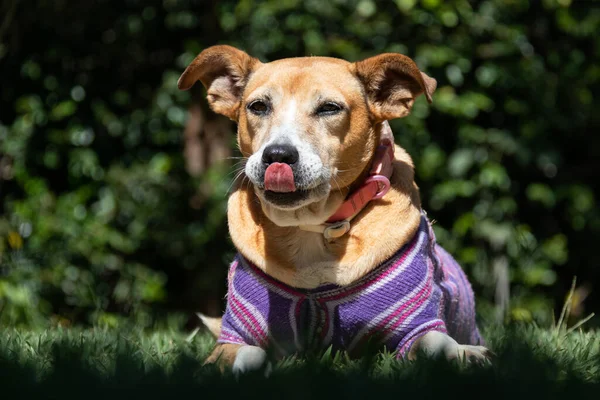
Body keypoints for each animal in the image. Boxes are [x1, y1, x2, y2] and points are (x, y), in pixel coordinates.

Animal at [178, 46, 492, 372]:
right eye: (258, 106)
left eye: (329, 108)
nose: (277, 155)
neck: (310, 225)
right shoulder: (234, 336)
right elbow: (249, 353)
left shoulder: (415, 321)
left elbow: (436, 342)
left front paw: (465, 353)